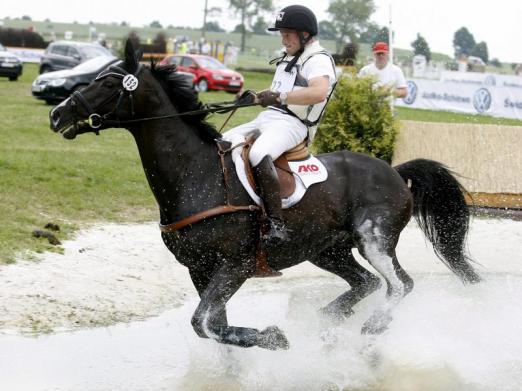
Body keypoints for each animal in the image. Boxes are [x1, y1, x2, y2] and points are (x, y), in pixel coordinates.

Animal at [49, 40, 480, 352]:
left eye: (108, 83)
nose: (56, 114)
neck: (194, 174)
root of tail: (395, 171)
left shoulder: (235, 266)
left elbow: (203, 322)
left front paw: (273, 337)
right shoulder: (199, 269)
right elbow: (212, 326)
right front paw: (257, 346)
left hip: (374, 240)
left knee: (399, 285)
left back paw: (371, 325)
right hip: (326, 249)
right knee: (365, 284)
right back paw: (327, 324)